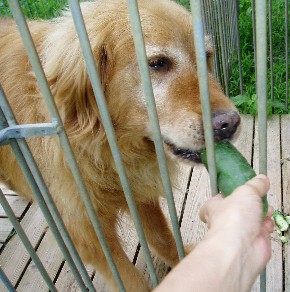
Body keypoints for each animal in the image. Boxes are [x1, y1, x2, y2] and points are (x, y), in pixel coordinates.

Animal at [0, 0, 240, 290]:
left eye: (207, 56)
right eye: (158, 64)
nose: (230, 124)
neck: (107, 149)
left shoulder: (139, 191)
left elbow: (162, 237)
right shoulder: (90, 234)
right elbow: (129, 279)